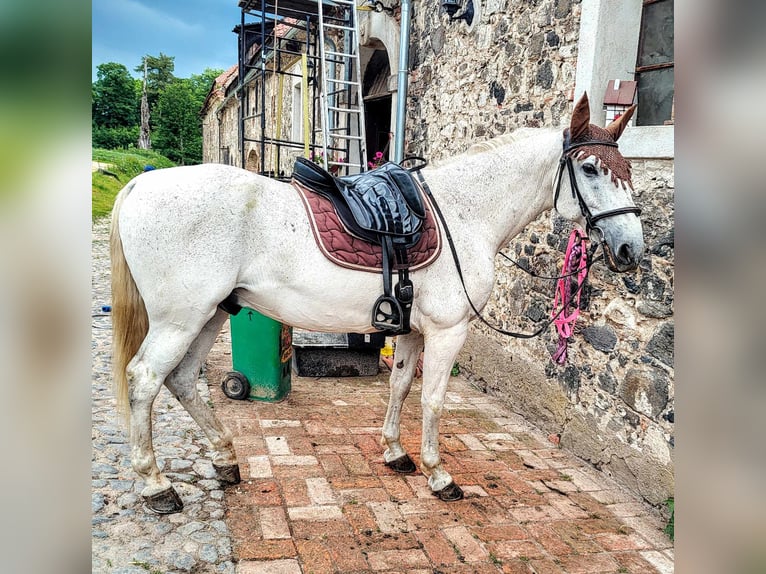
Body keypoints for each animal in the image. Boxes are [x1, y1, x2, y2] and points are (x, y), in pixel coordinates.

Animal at [112, 95, 640, 516]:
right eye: (589, 169)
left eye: (629, 171)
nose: (630, 249)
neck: (464, 213)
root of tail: (140, 186)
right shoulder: (448, 331)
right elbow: (433, 400)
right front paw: (439, 475)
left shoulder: (412, 331)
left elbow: (400, 387)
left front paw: (395, 453)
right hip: (180, 321)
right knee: (145, 380)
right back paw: (156, 486)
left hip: (212, 314)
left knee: (182, 380)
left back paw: (225, 459)